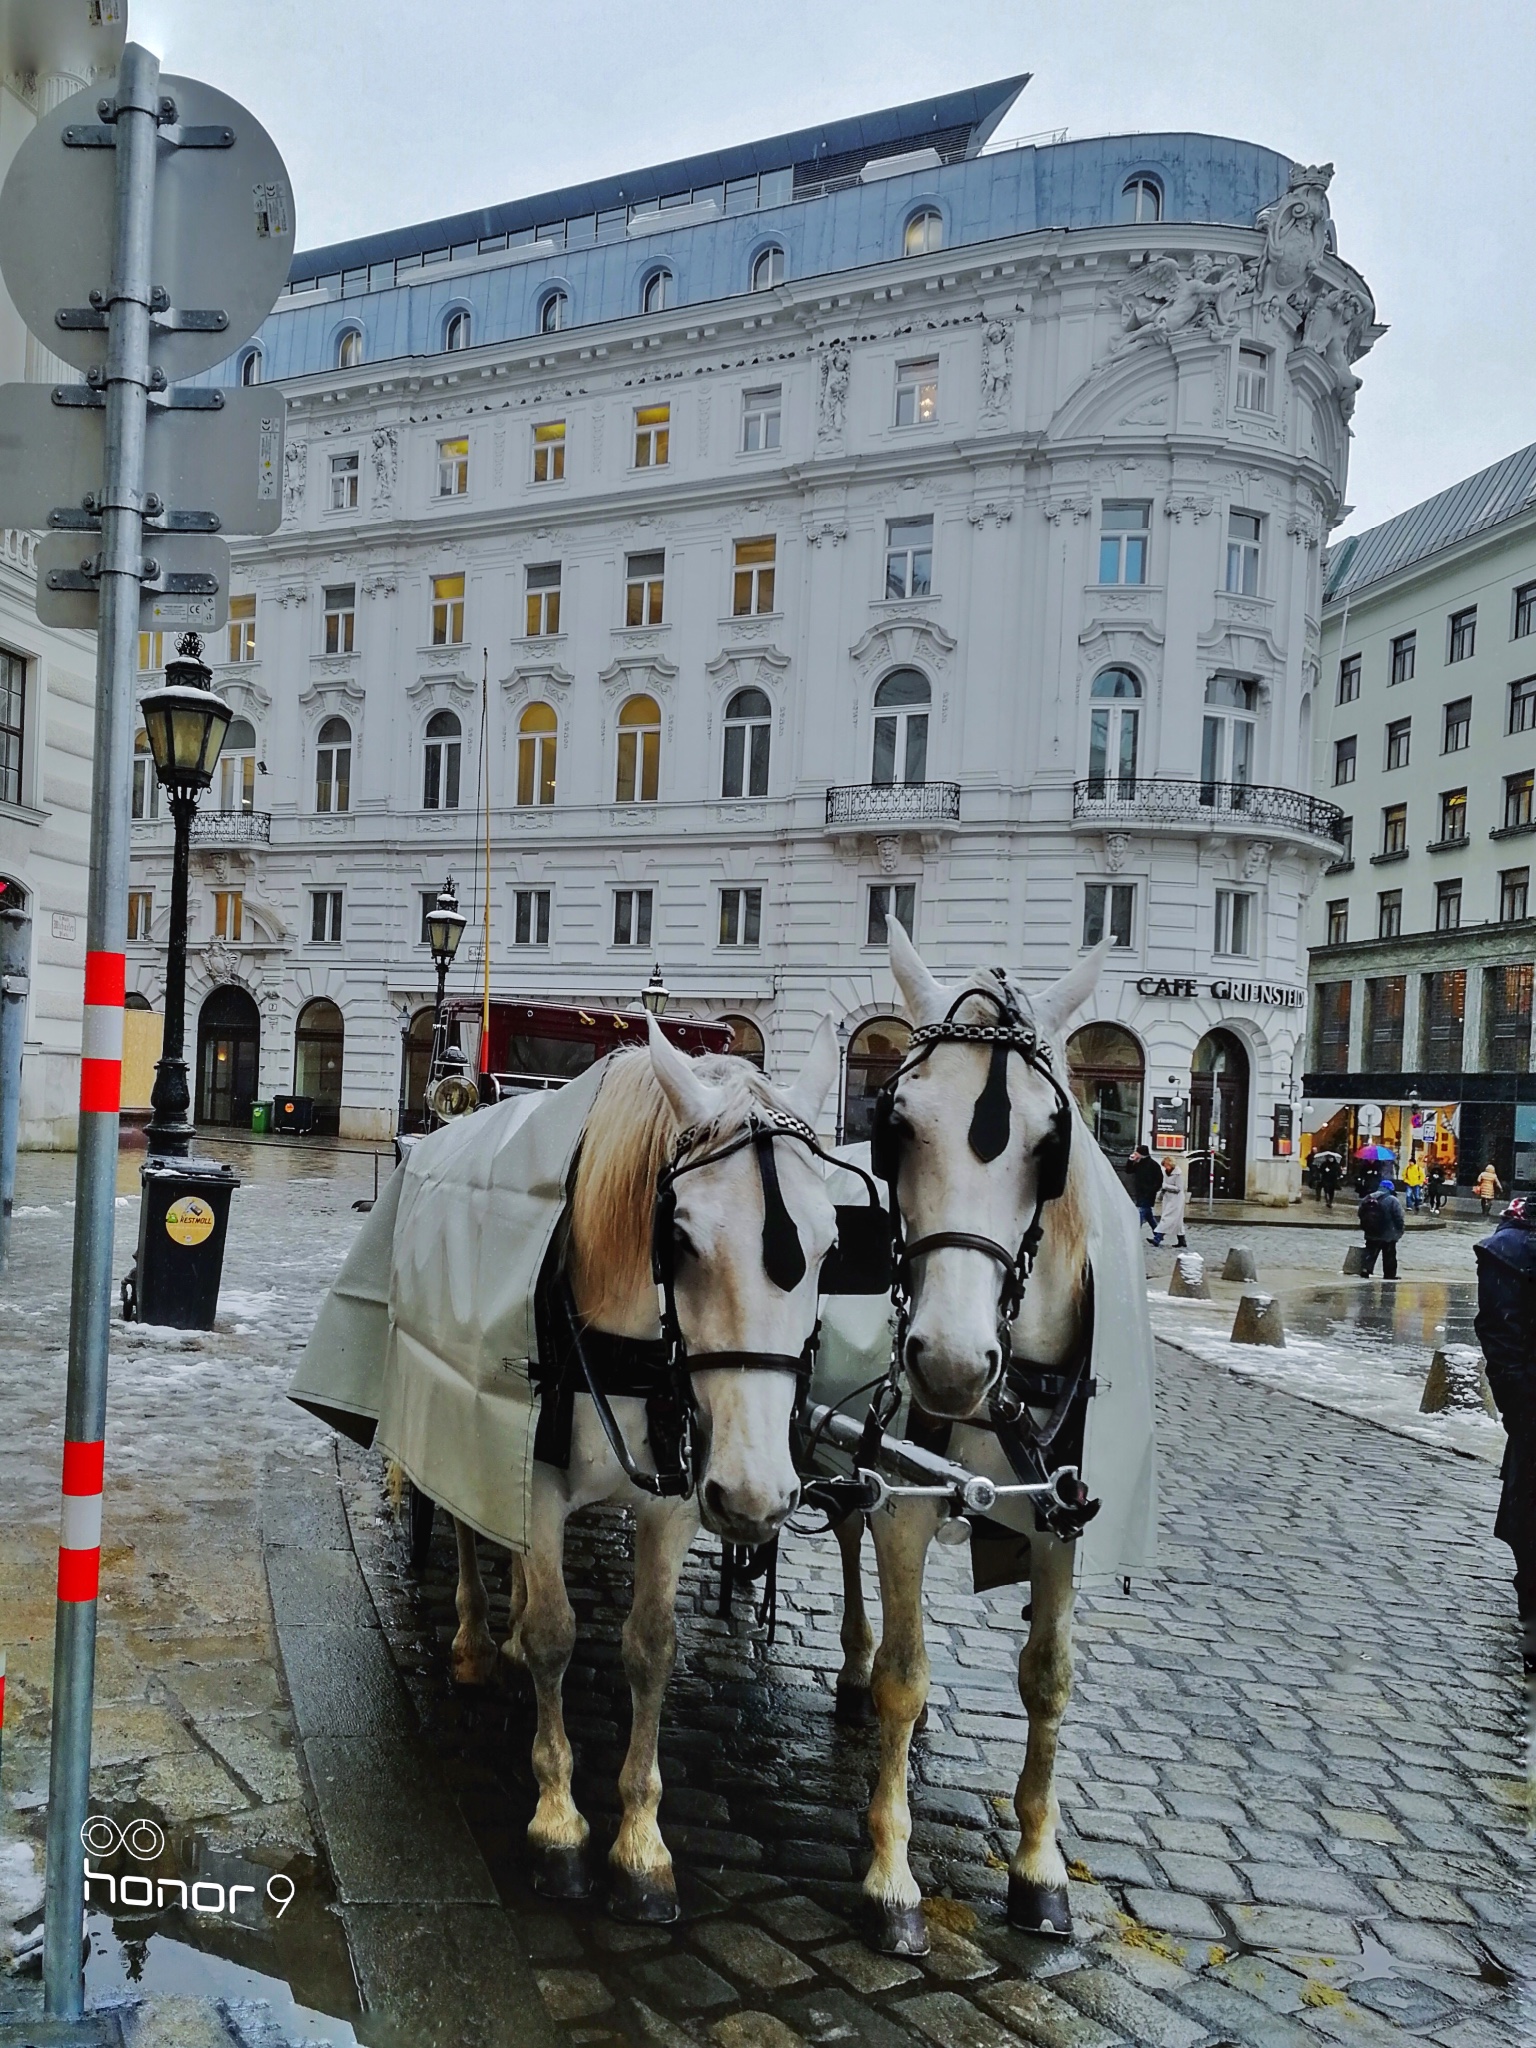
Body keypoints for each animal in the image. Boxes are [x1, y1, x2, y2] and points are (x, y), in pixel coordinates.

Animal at [835, 929, 1163, 1949]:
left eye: (1052, 1144)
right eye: (897, 1124)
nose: (946, 1361)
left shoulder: (1064, 1522)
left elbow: (1049, 1680)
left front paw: (1039, 1866)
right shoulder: (901, 1501)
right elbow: (904, 1678)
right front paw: (891, 1877)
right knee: (851, 1539)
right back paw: (855, 1667)